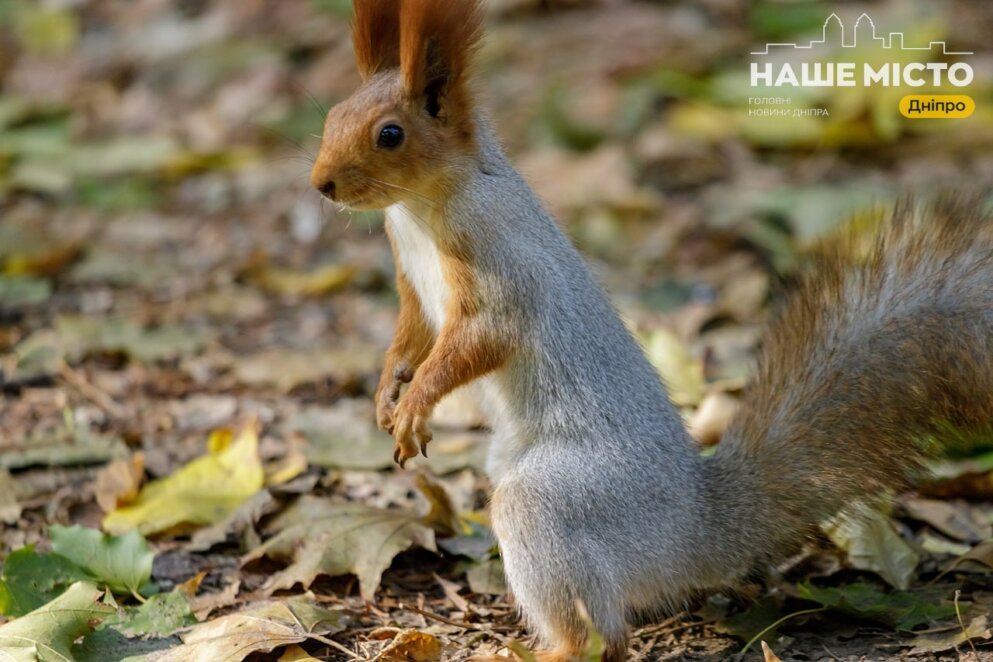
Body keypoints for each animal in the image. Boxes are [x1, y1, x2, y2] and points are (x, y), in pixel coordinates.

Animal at [310, 1, 992, 662]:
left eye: (391, 134)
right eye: (333, 114)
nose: (322, 185)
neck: (420, 208)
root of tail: (698, 530)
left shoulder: (499, 268)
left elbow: (477, 342)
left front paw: (418, 401)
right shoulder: (414, 287)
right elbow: (411, 336)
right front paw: (389, 392)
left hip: (557, 502)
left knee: (603, 638)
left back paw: (539, 652)